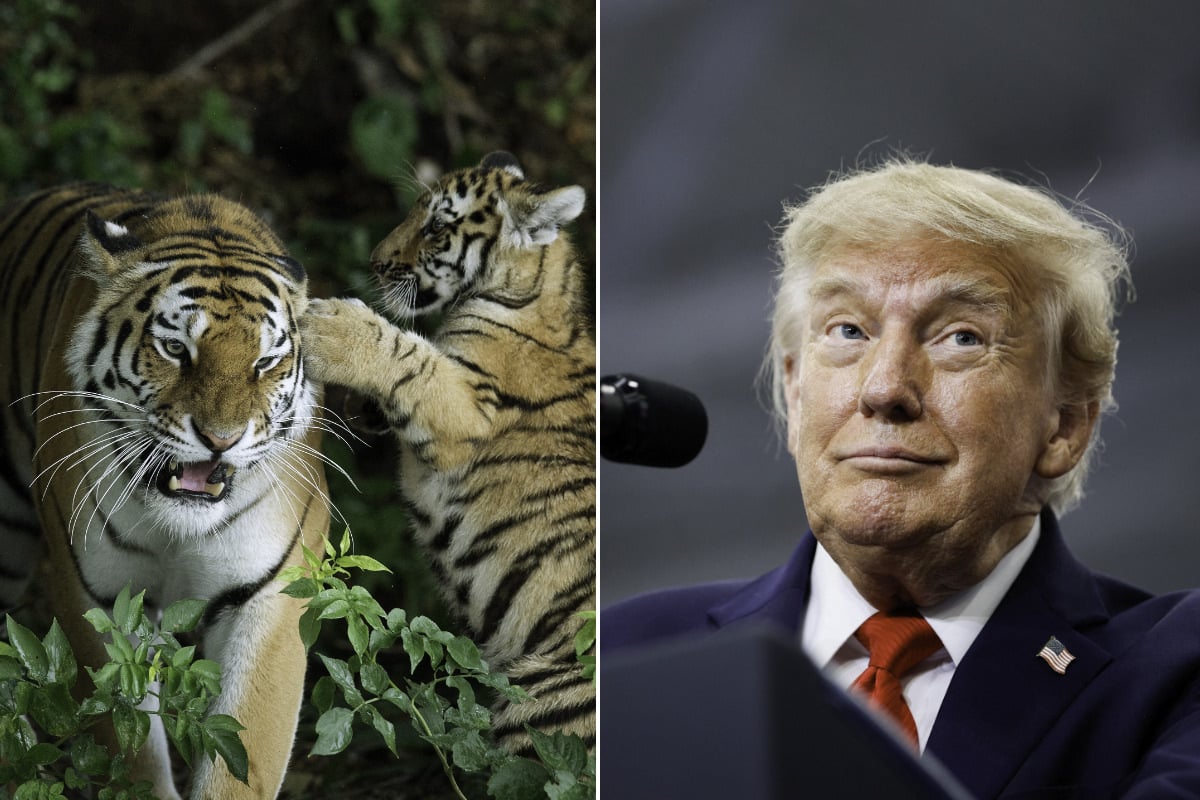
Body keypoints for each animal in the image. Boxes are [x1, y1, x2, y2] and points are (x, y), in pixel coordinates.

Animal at [0, 184, 330, 799]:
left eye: (265, 362)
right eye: (177, 349)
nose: (220, 439)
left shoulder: (267, 595)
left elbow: (243, 754)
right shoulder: (99, 597)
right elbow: (129, 747)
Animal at [300, 151, 595, 753]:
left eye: (437, 226)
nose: (377, 262)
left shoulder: (464, 410)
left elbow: (408, 354)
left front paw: (331, 325)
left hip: (542, 709)